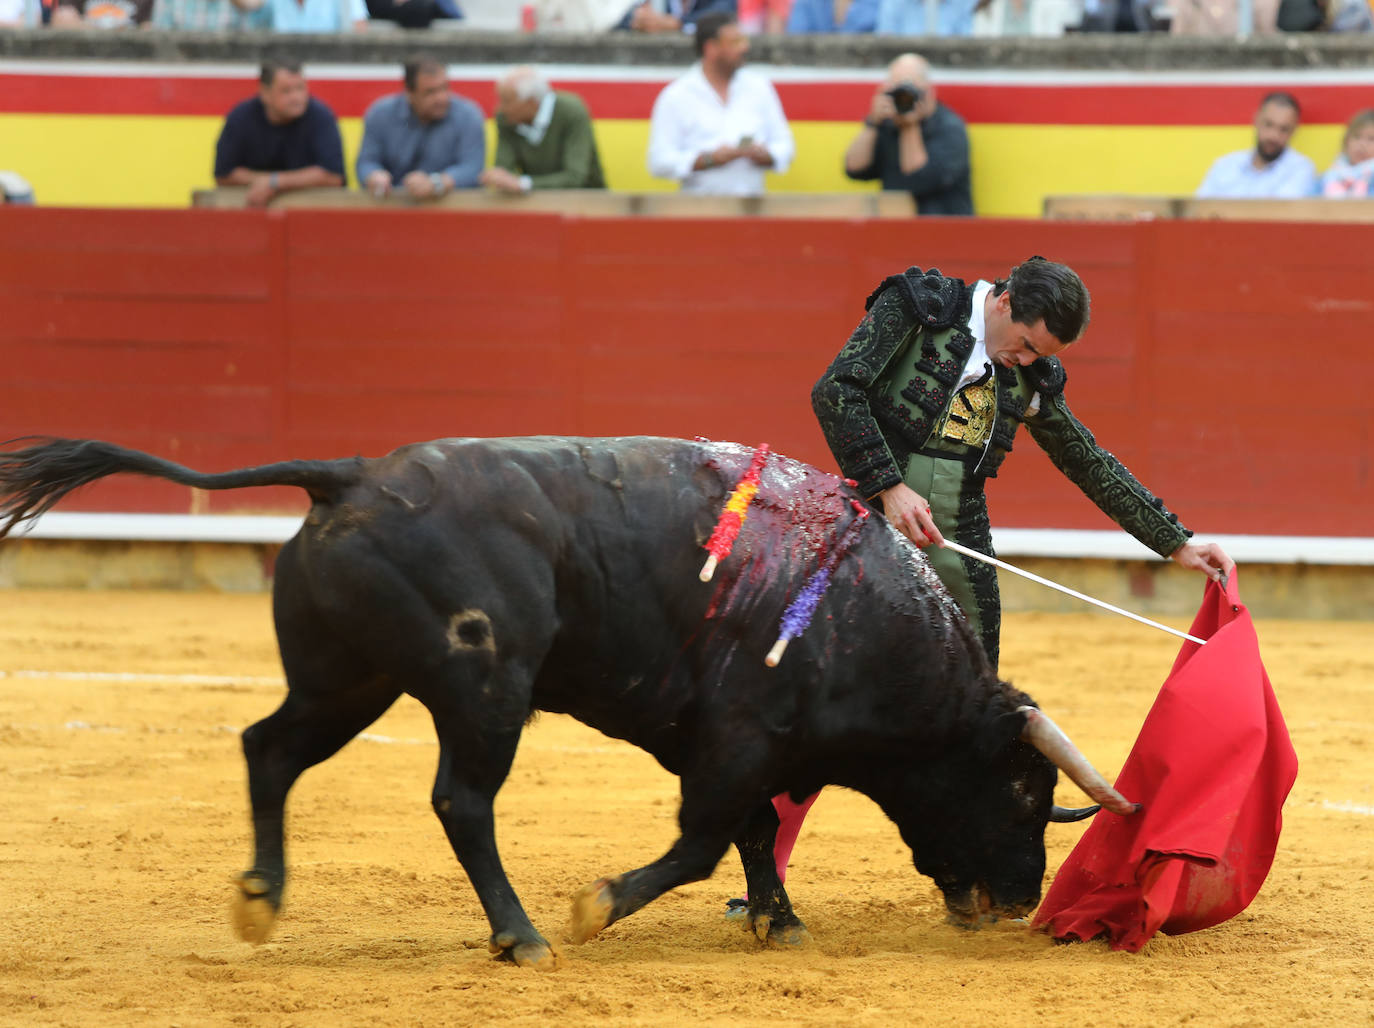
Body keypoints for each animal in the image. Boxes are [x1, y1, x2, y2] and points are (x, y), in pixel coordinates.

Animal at [0, 431, 1137, 962]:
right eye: (1026, 793)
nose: (1021, 899)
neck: (859, 612)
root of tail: (351, 475)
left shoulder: (738, 745)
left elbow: (753, 834)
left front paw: (781, 922)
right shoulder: (736, 737)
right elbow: (703, 842)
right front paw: (598, 905)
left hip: (348, 679)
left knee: (268, 746)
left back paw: (261, 897)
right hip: (483, 687)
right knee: (461, 801)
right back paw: (524, 934)